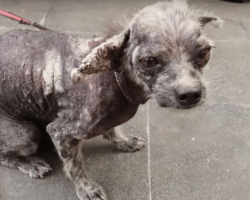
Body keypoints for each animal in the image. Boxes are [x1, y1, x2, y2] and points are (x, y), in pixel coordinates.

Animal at [0, 1, 221, 200]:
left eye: (205, 52)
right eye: (149, 61)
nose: (190, 93)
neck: (114, 75)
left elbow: (111, 130)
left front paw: (123, 142)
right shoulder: (60, 131)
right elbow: (75, 167)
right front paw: (87, 189)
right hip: (27, 134)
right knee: (6, 156)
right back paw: (31, 163)